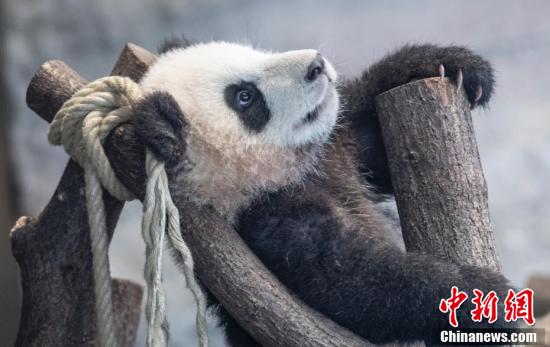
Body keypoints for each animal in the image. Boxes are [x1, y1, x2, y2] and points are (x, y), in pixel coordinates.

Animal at [134, 39, 516, 346]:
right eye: (245, 98)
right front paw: (483, 297)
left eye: (251, 51)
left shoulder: (337, 152)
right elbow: (353, 283)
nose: (315, 65)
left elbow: (370, 141)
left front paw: (448, 64)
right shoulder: (266, 228)